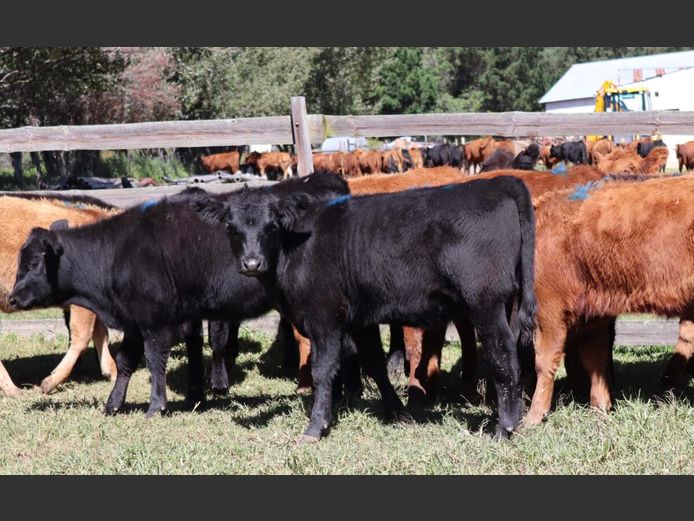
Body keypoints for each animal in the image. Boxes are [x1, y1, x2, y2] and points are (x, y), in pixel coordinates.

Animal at [200, 176, 540, 438]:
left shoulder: (324, 317)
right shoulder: (360, 320)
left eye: (271, 226)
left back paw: (504, 427)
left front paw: (316, 426)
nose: (251, 263)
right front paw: (396, 411)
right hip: (508, 305)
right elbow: (375, 364)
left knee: (503, 358)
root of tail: (497, 182)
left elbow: (323, 370)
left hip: (486, 303)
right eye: (231, 228)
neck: (297, 245)